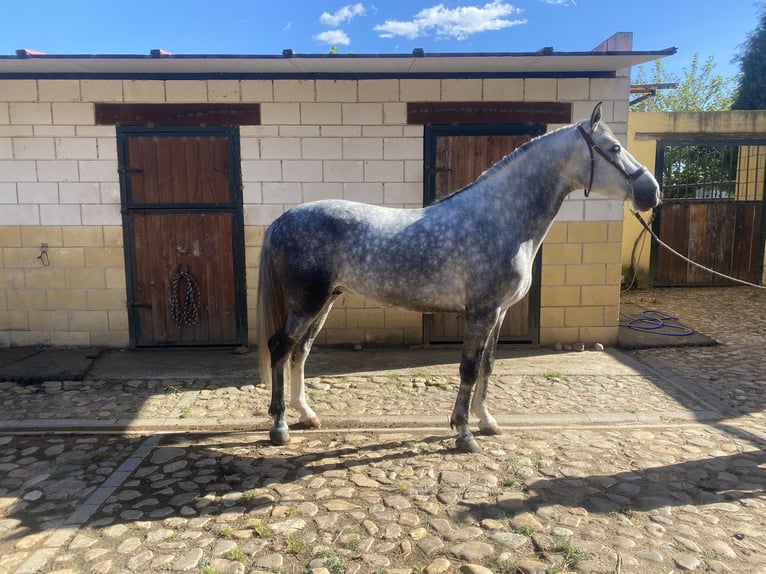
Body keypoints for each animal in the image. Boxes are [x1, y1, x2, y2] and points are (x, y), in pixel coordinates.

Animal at [256, 103, 660, 454]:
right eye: (615, 148)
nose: (652, 192)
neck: (499, 219)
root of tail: (282, 219)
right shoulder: (481, 311)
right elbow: (468, 368)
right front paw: (464, 433)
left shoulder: (498, 313)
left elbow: (488, 365)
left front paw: (487, 421)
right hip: (307, 303)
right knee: (280, 347)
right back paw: (279, 427)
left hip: (324, 301)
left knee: (300, 351)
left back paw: (306, 415)